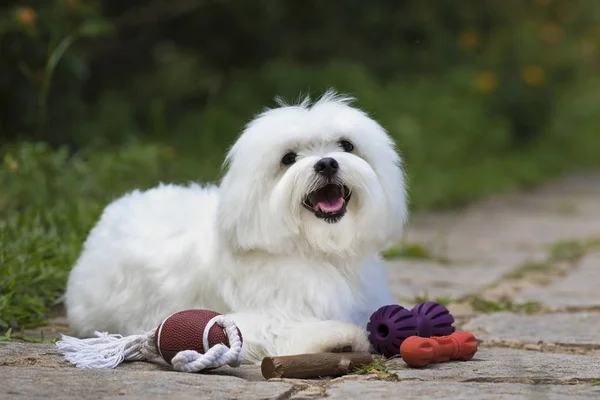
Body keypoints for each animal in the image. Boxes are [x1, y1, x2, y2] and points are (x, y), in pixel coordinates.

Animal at [63, 90, 408, 362]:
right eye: (288, 158)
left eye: (346, 146)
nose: (326, 163)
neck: (316, 248)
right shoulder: (259, 319)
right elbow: (284, 329)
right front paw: (337, 338)